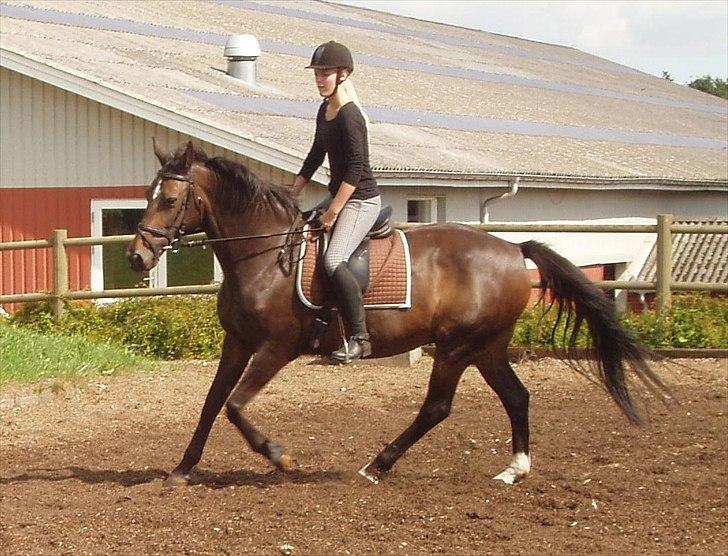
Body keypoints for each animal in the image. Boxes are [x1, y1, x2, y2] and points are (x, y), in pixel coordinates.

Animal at [125, 142, 664, 486]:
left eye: (168, 199)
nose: (136, 257)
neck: (263, 255)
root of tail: (513, 249)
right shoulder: (236, 343)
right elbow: (212, 403)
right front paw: (181, 470)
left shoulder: (277, 347)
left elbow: (236, 406)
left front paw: (280, 457)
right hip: (486, 346)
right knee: (516, 396)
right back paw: (514, 470)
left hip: (457, 346)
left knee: (437, 407)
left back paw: (377, 466)